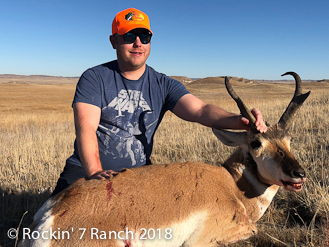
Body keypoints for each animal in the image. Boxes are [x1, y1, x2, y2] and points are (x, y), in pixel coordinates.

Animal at [19, 71, 308, 247]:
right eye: (256, 143)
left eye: (290, 140)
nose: (299, 174)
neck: (231, 185)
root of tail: (50, 218)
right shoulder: (202, 240)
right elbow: (255, 230)